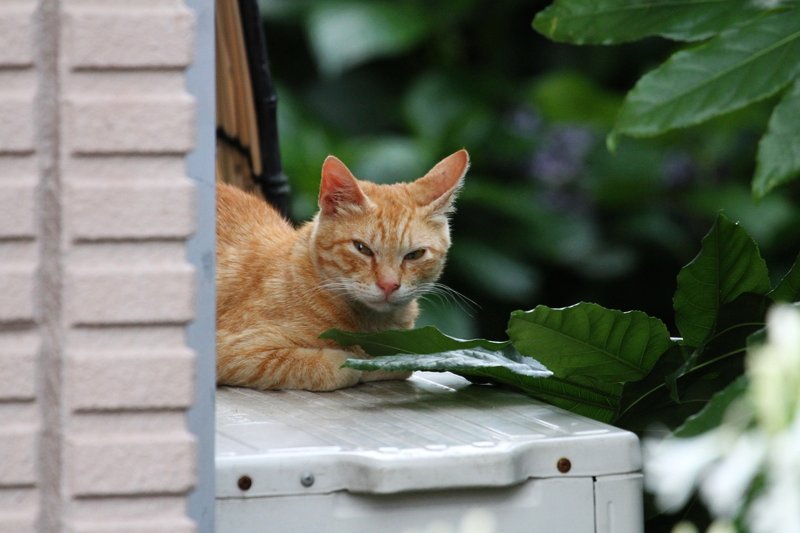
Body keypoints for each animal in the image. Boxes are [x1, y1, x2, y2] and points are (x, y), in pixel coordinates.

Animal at [216, 150, 472, 390]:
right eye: (362, 248)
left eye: (415, 255)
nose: (389, 285)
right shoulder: (231, 350)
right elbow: (326, 365)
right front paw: (354, 363)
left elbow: (399, 364)